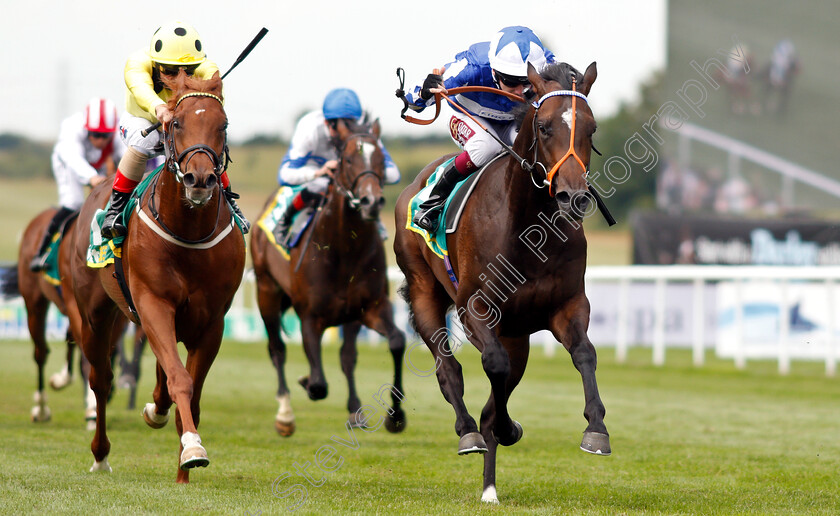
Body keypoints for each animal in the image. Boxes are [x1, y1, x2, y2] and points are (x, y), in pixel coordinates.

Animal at [66, 70, 244, 482]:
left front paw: (184, 467)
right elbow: (180, 379)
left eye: (223, 125)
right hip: (95, 315)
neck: (189, 233)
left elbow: (189, 390)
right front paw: (192, 448)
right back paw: (100, 454)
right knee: (101, 379)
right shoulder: (152, 303)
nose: (199, 179)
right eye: (176, 123)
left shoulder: (212, 321)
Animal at [249, 116, 406, 436]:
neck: (345, 250)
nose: (371, 201)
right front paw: (306, 381)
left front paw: (394, 415)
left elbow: (394, 342)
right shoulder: (310, 316)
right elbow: (319, 384)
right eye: (347, 159)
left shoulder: (369, 308)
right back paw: (285, 414)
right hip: (266, 291)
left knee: (346, 357)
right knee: (277, 349)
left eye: (381, 159)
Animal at [394, 61, 612, 504]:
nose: (574, 197)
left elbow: (585, 354)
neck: (528, 228)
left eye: (592, 128)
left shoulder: (568, 305)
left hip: (517, 335)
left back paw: (490, 487)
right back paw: (468, 433)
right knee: (449, 369)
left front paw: (596, 429)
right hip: (424, 293)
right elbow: (492, 367)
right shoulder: (474, 307)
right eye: (544, 127)